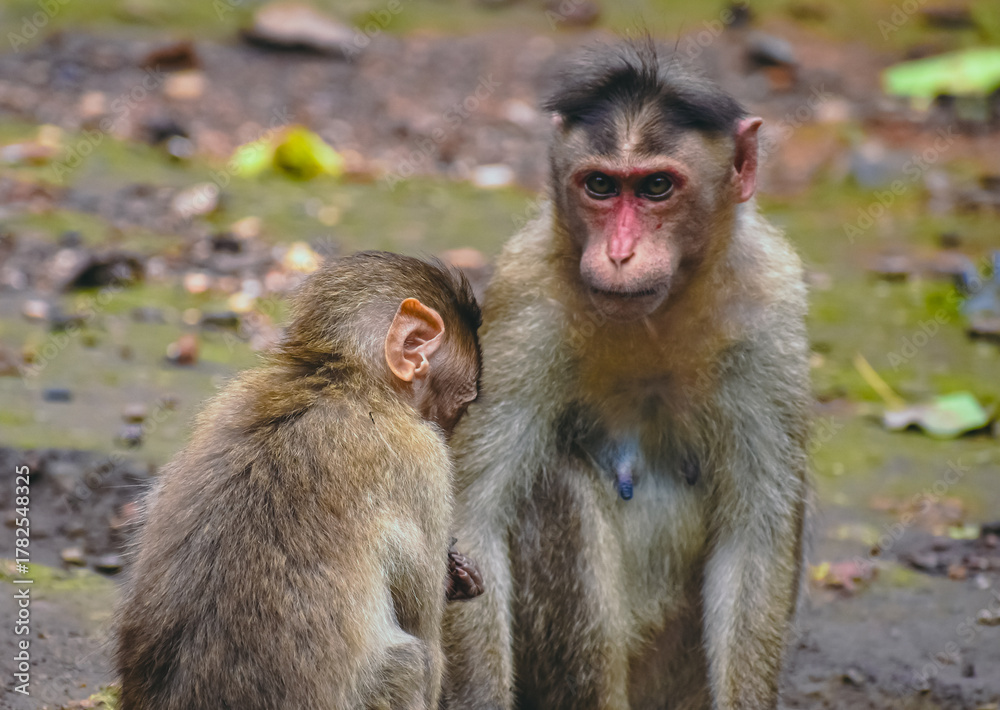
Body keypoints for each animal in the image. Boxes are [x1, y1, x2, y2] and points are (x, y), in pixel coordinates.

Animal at [115, 251, 483, 710]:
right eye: (461, 407)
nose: (452, 434)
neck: (344, 383)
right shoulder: (423, 463)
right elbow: (427, 650)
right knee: (412, 663)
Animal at [441, 40, 810, 710]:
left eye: (657, 186)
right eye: (601, 185)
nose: (618, 253)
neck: (654, 318)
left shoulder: (768, 305)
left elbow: (755, 540)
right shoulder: (526, 296)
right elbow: (471, 526)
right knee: (555, 485)